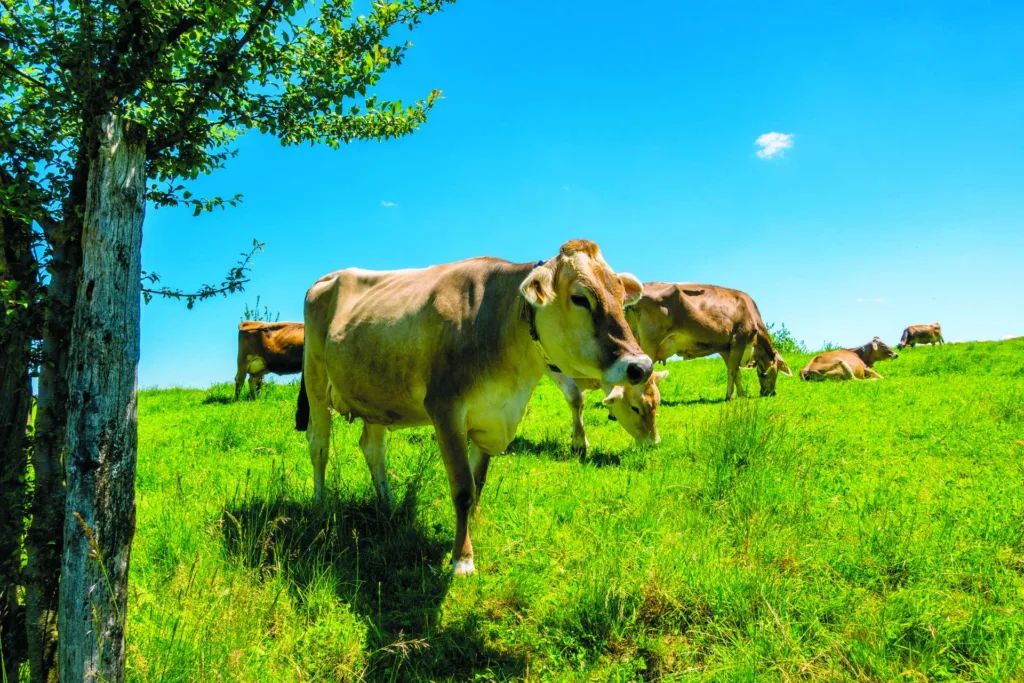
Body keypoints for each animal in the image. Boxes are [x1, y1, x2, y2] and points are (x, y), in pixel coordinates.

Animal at [295, 240, 652, 576]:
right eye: (580, 298)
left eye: (620, 296)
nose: (642, 366)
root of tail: (327, 278)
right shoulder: (446, 411)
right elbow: (463, 488)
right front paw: (462, 559)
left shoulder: (490, 418)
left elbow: (478, 483)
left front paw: (474, 529)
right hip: (315, 378)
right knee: (319, 446)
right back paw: (320, 506)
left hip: (375, 394)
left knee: (372, 447)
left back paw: (388, 503)